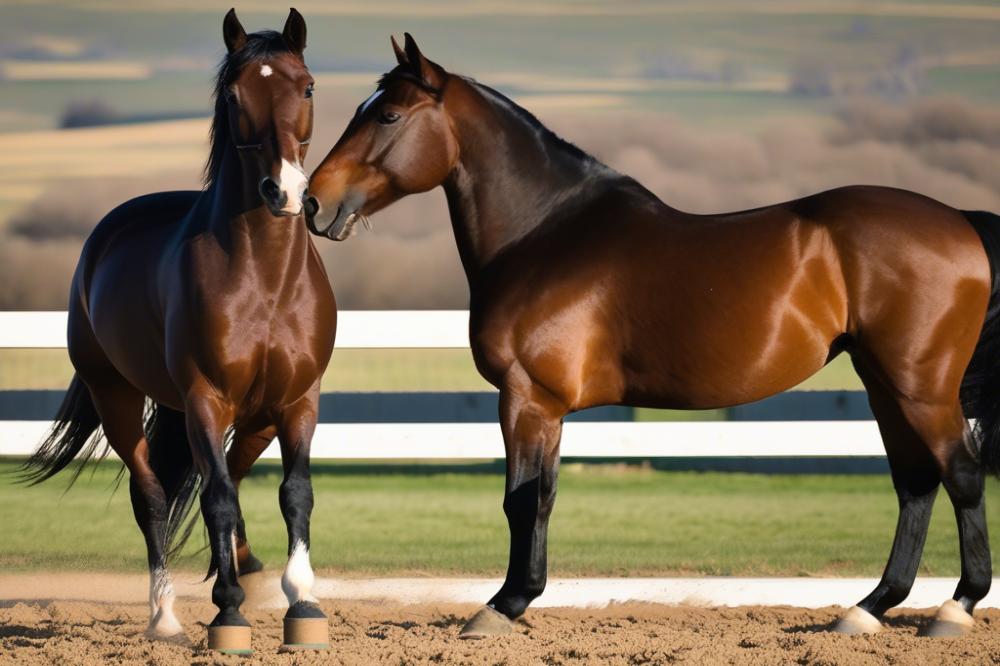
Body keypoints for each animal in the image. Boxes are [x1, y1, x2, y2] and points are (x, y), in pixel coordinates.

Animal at [19, 9, 336, 652]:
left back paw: (249, 570)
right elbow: (213, 497)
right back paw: (164, 615)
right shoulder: (204, 400)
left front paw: (302, 602)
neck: (265, 280)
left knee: (233, 473)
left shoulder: (297, 400)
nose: (283, 190)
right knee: (153, 495)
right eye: (235, 94)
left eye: (308, 87)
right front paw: (228, 611)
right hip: (118, 398)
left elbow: (294, 492)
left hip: (255, 415)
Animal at [304, 33, 1000, 636]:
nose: (312, 202)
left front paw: (502, 606)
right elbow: (543, 497)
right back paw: (866, 610)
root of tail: (960, 221)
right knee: (915, 483)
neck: (543, 230)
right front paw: (519, 599)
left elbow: (521, 501)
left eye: (388, 115)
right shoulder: (548, 408)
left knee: (960, 474)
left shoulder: (526, 397)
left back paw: (954, 609)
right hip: (884, 384)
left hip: (920, 388)